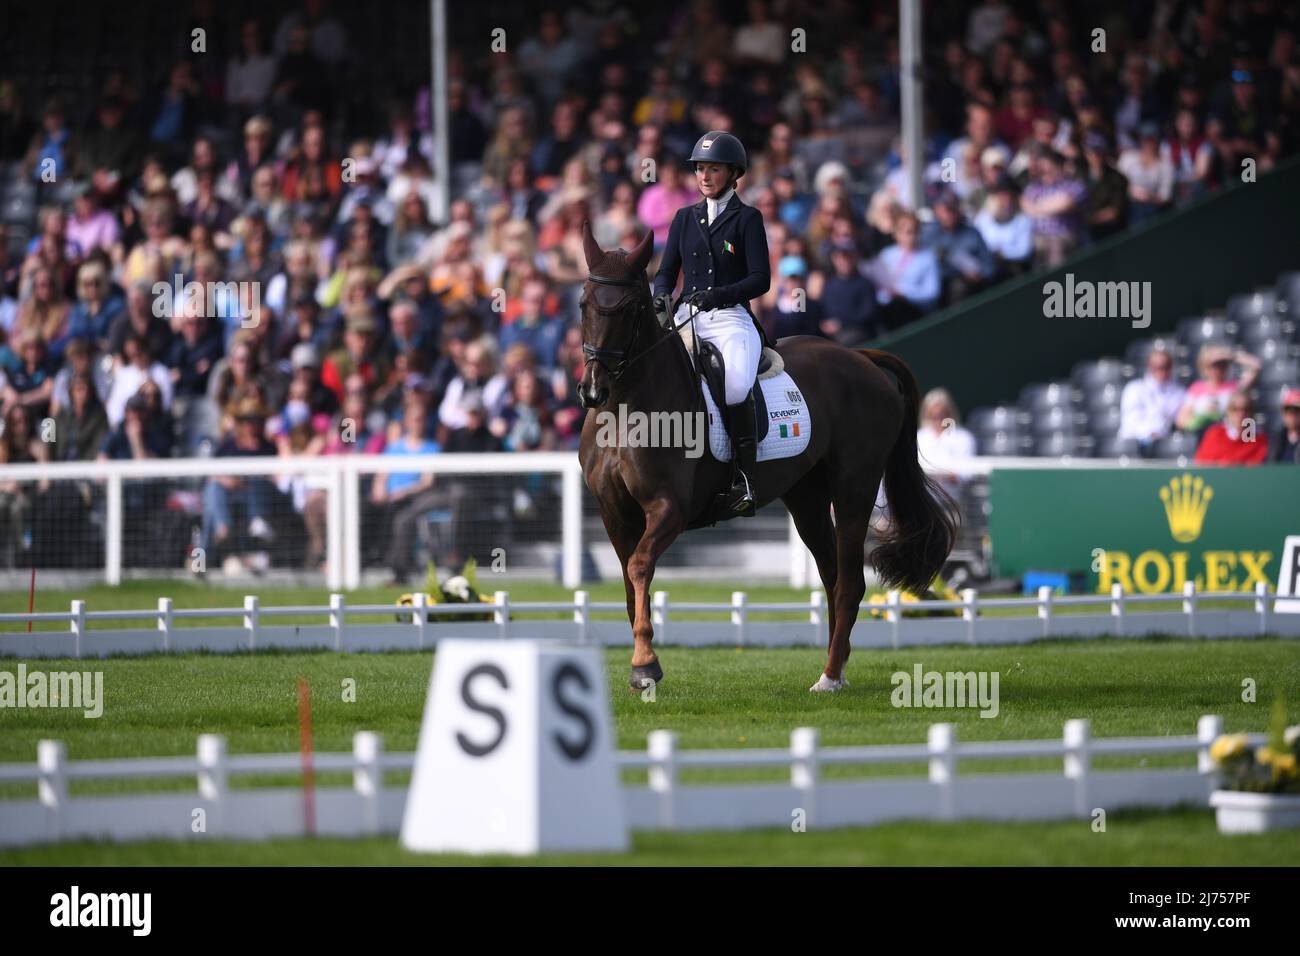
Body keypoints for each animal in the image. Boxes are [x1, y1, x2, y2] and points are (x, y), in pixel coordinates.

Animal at [579, 227, 956, 691]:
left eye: (629, 309)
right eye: (583, 304)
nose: (592, 391)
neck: (624, 411)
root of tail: (859, 357)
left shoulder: (669, 509)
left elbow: (640, 566)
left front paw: (646, 665)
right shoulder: (613, 514)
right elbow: (632, 587)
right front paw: (642, 666)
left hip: (856, 487)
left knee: (850, 582)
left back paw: (830, 677)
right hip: (807, 498)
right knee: (831, 577)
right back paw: (836, 668)